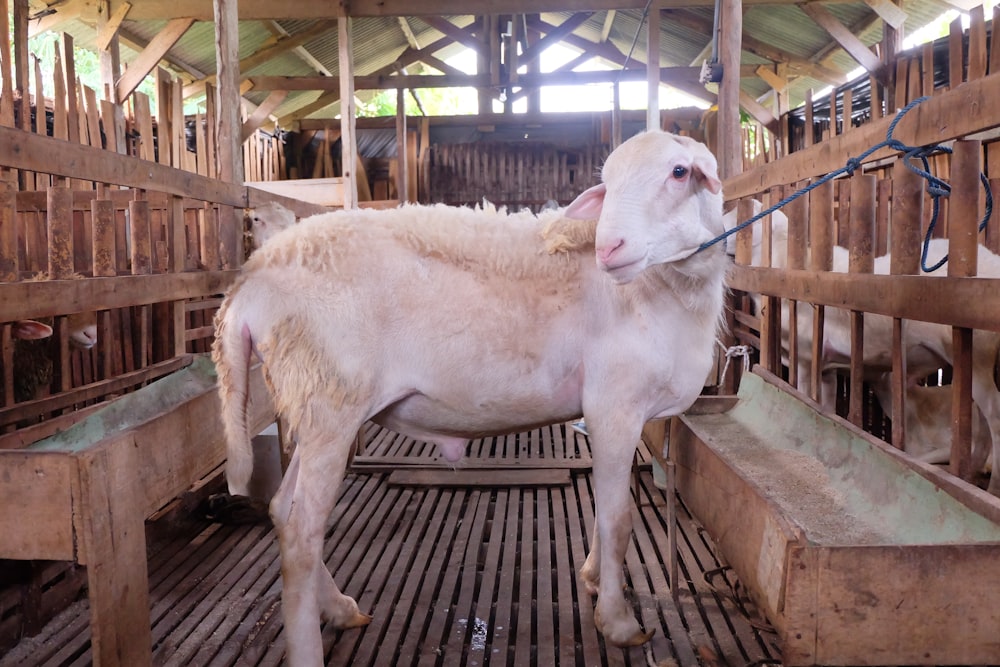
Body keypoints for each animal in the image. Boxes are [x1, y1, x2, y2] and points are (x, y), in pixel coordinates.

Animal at [213, 132, 728, 667]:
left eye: (678, 172)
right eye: (607, 183)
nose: (609, 248)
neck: (662, 291)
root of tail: (247, 283)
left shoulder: (609, 411)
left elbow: (603, 510)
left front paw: (589, 575)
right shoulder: (615, 404)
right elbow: (617, 518)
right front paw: (618, 622)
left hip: (315, 408)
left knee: (282, 509)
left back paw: (339, 608)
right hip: (330, 400)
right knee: (301, 532)